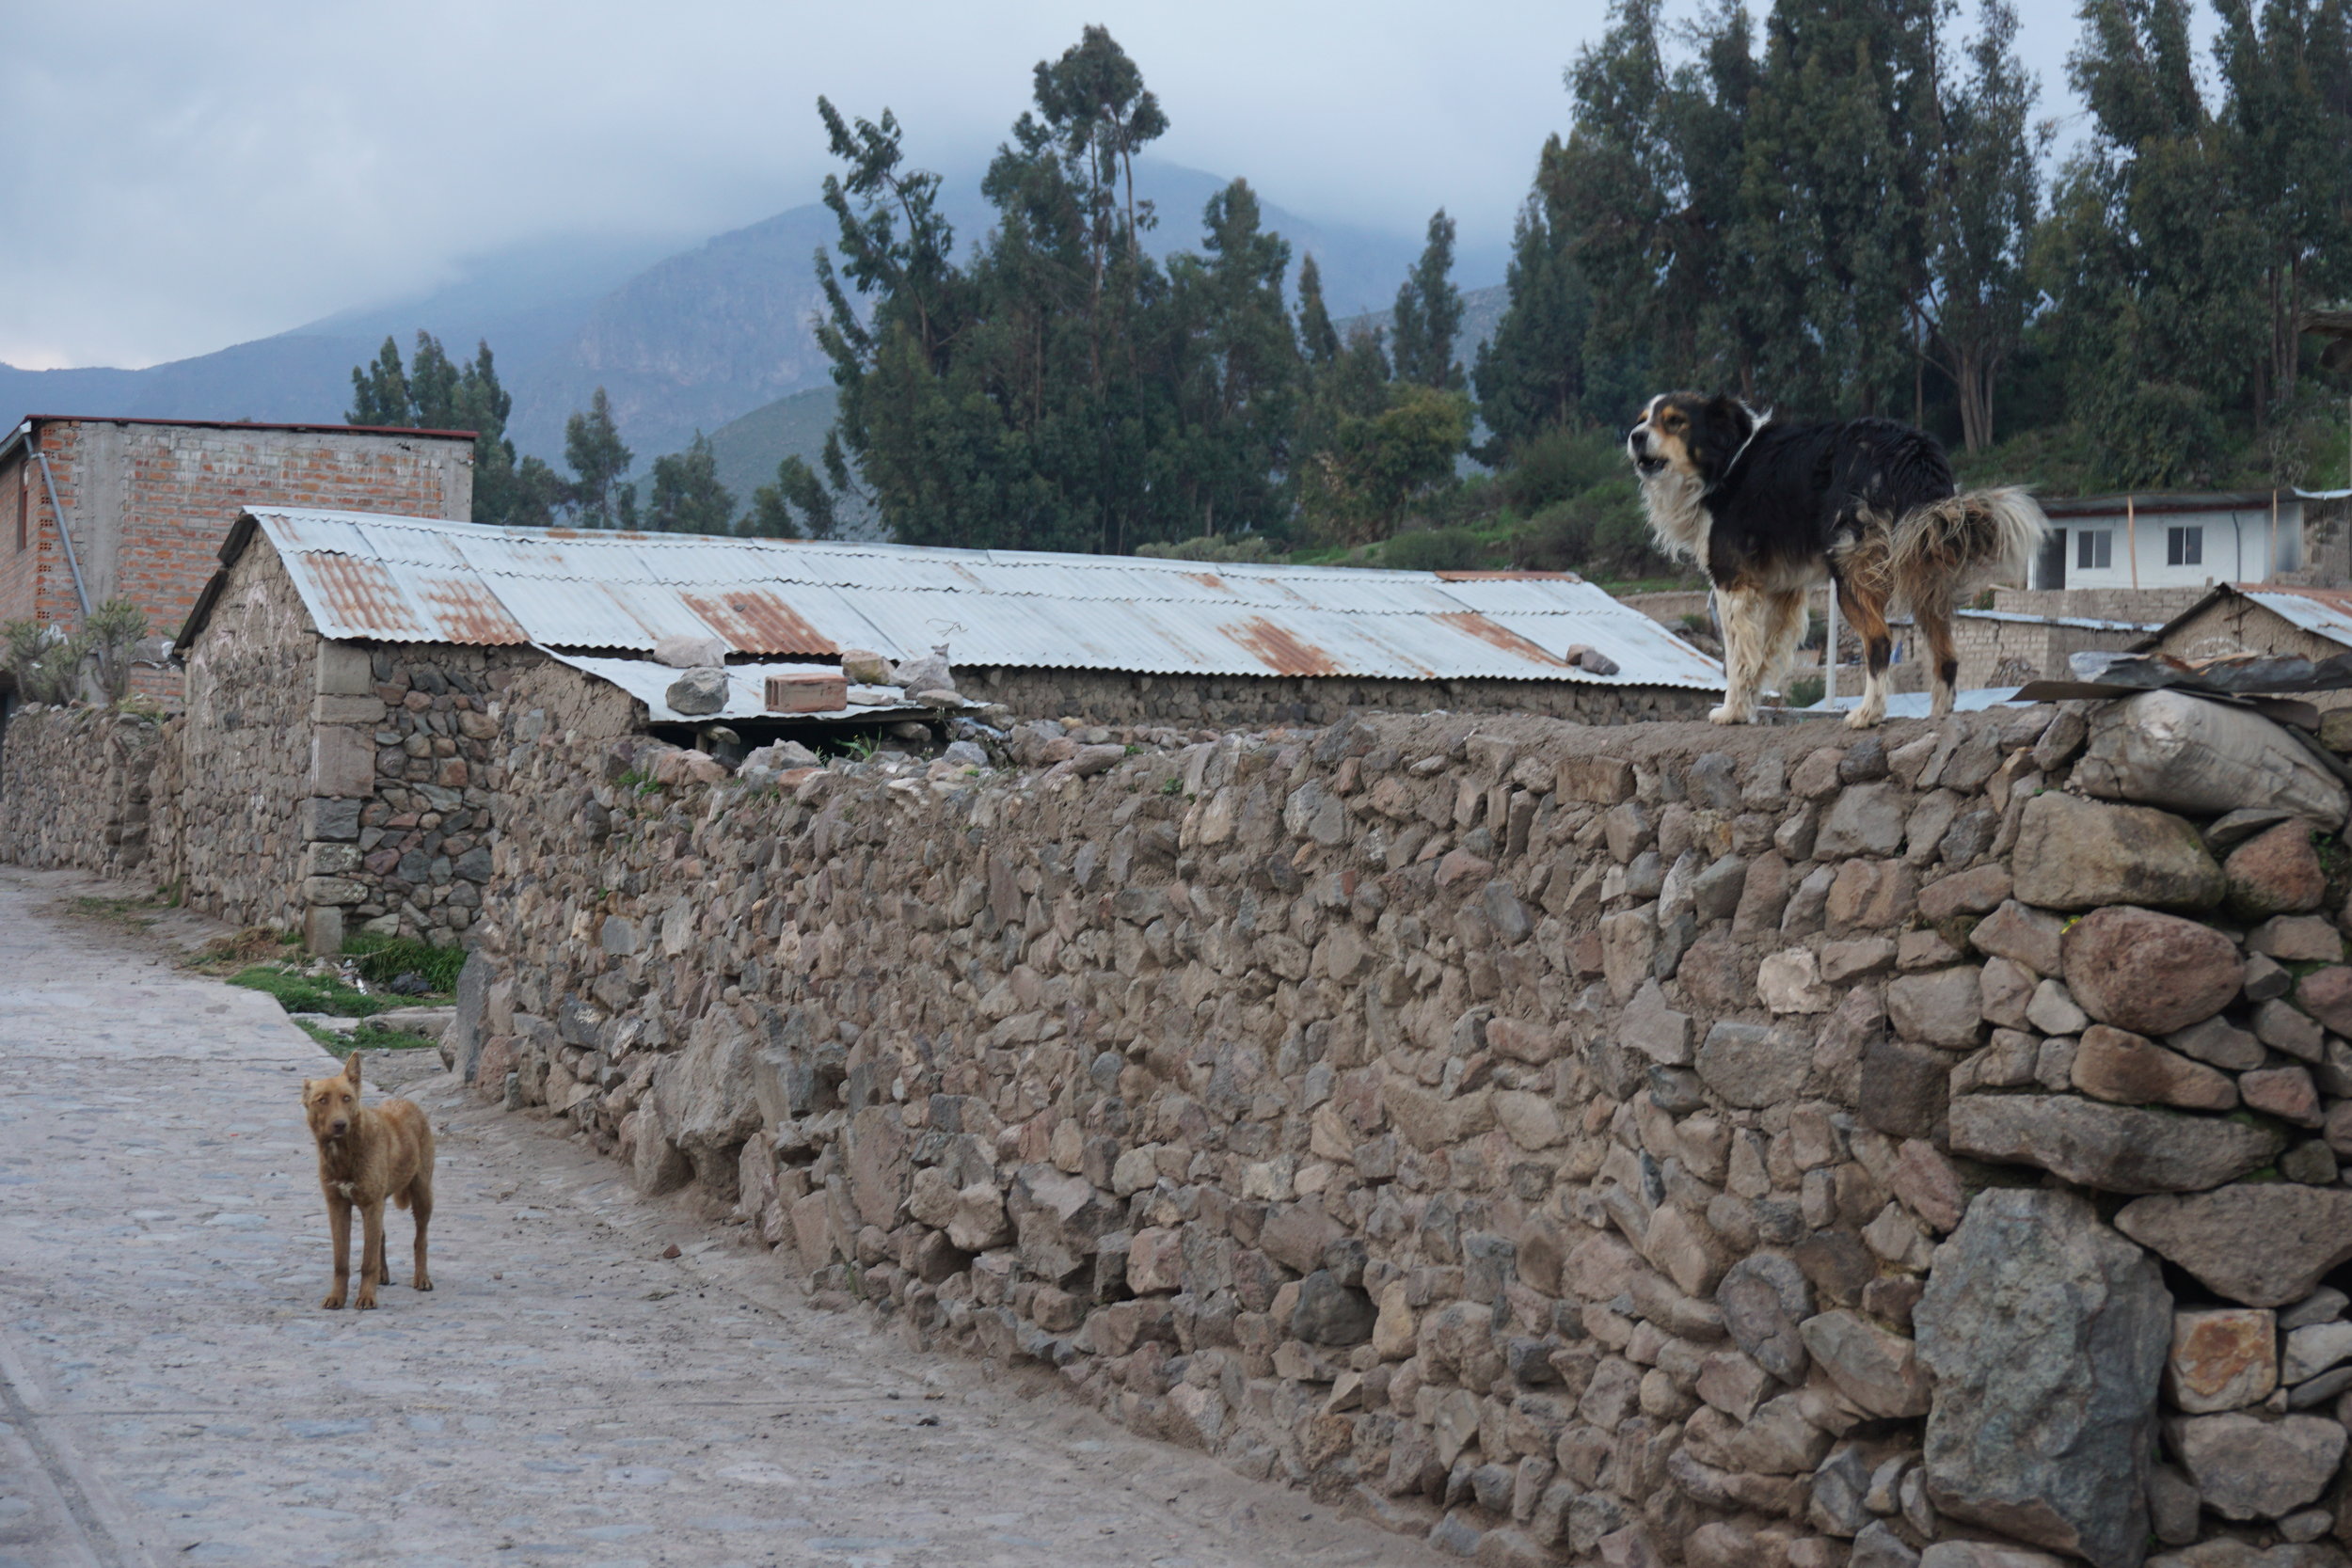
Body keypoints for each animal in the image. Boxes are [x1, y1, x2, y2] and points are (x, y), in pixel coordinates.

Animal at [303, 1053, 437, 1316]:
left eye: (347, 1098)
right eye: (322, 1100)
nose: (340, 1124)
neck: (345, 1155)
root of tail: (405, 1101)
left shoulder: (370, 1205)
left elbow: (367, 1261)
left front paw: (366, 1298)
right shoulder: (338, 1206)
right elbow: (341, 1262)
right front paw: (337, 1297)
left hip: (422, 1195)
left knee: (421, 1239)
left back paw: (421, 1278)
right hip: (379, 1205)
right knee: (381, 1237)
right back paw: (382, 1275)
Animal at [1637, 399, 2042, 728]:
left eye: (1674, 421)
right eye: (1643, 420)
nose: (1634, 437)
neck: (1725, 460)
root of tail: (1913, 452)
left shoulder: (1733, 582)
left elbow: (1739, 657)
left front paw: (1732, 712)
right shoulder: (1781, 588)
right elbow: (1765, 655)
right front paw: (1749, 709)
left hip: (1852, 569)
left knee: (1880, 640)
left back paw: (1868, 714)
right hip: (1925, 564)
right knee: (1946, 653)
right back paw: (1938, 715)